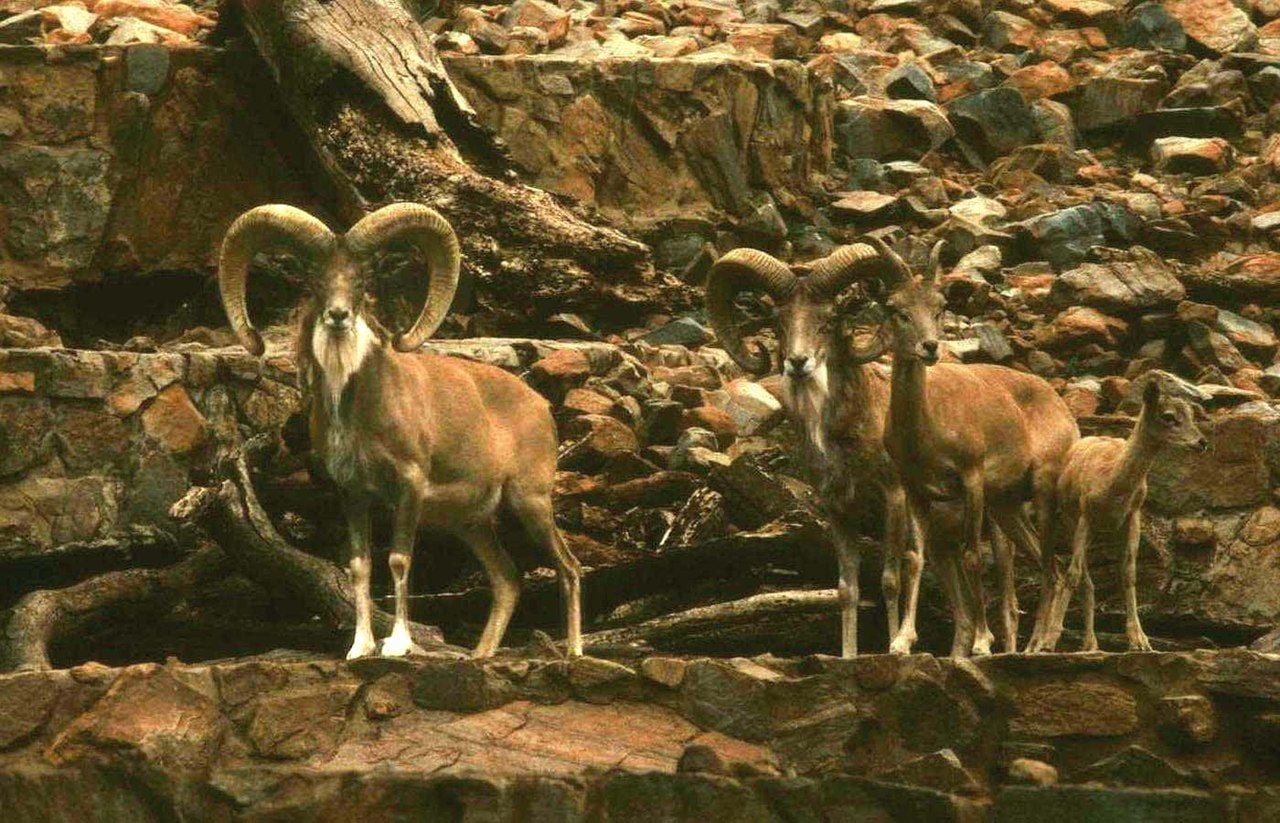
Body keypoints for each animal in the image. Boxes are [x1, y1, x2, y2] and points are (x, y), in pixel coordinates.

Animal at [216, 202, 582, 660]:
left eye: (363, 279)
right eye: (315, 278)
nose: (338, 315)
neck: (358, 408)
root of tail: (540, 406)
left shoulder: (409, 486)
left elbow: (398, 560)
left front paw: (397, 646)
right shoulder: (353, 494)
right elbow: (360, 567)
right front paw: (360, 648)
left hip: (529, 502)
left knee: (568, 567)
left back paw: (574, 652)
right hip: (472, 524)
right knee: (507, 579)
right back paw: (479, 656)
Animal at [1029, 374, 1208, 653]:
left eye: (1191, 413)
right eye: (1168, 416)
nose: (1201, 443)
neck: (1111, 482)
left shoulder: (1131, 516)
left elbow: (1128, 573)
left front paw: (1140, 641)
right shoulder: (1085, 516)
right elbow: (1073, 574)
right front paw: (1049, 642)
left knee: (1091, 581)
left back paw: (1091, 643)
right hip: (1071, 522)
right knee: (1082, 578)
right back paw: (1082, 642)